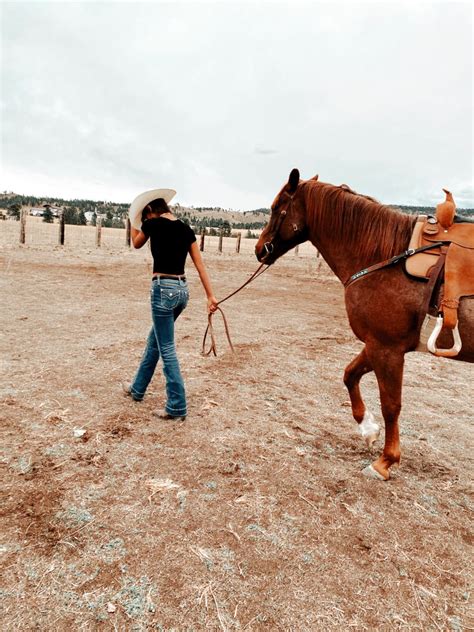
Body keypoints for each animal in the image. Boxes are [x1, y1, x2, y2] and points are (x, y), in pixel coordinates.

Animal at [256, 168, 474, 478]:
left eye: (277, 207)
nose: (259, 249)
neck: (386, 257)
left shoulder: (387, 349)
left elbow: (391, 405)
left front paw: (385, 461)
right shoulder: (377, 344)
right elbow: (350, 374)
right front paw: (368, 429)